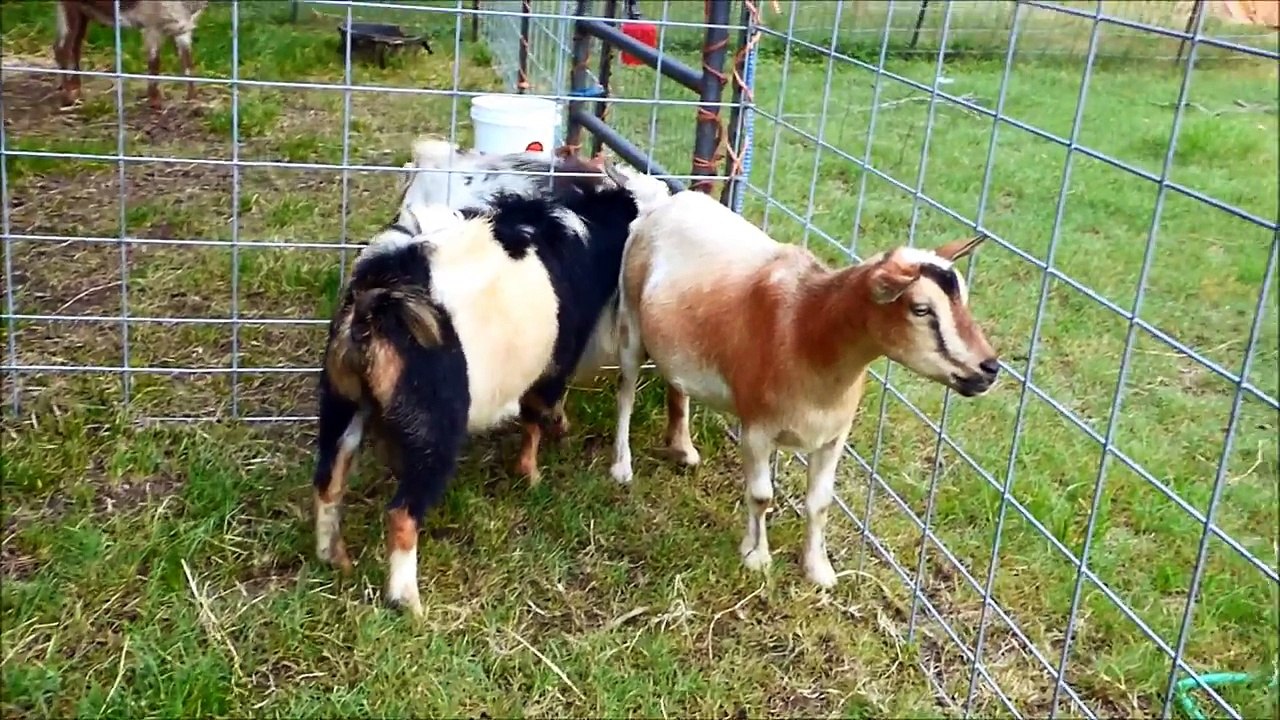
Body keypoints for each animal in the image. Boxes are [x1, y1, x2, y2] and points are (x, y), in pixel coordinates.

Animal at [54, 1, 208, 110]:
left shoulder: (183, 27)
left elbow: (187, 62)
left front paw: (194, 100)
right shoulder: (152, 25)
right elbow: (154, 62)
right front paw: (155, 102)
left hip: (84, 10)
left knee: (74, 46)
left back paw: (76, 89)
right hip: (70, 7)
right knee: (63, 48)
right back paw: (68, 97)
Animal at [312, 158, 669, 616]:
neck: (589, 229)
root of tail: (372, 309)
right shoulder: (556, 360)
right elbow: (536, 414)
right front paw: (533, 472)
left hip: (341, 402)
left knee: (328, 481)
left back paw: (334, 559)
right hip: (433, 430)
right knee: (402, 514)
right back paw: (409, 602)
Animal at [605, 180, 1000, 588]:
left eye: (964, 299)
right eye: (920, 309)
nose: (989, 369)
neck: (804, 330)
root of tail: (661, 202)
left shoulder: (833, 437)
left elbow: (820, 503)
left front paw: (818, 569)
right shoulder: (756, 429)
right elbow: (761, 495)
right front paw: (756, 557)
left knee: (676, 382)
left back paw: (683, 448)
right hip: (630, 322)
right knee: (625, 392)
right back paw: (622, 467)